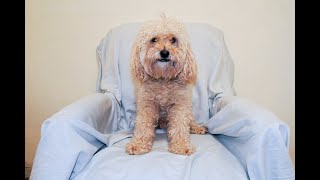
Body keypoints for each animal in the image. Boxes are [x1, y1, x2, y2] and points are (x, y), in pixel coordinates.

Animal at [125, 16, 208, 156]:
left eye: (173, 40)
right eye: (153, 39)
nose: (164, 52)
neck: (163, 78)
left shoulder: (180, 104)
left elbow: (180, 125)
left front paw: (181, 146)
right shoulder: (147, 104)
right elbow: (143, 125)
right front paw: (138, 144)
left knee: (190, 120)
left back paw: (196, 127)